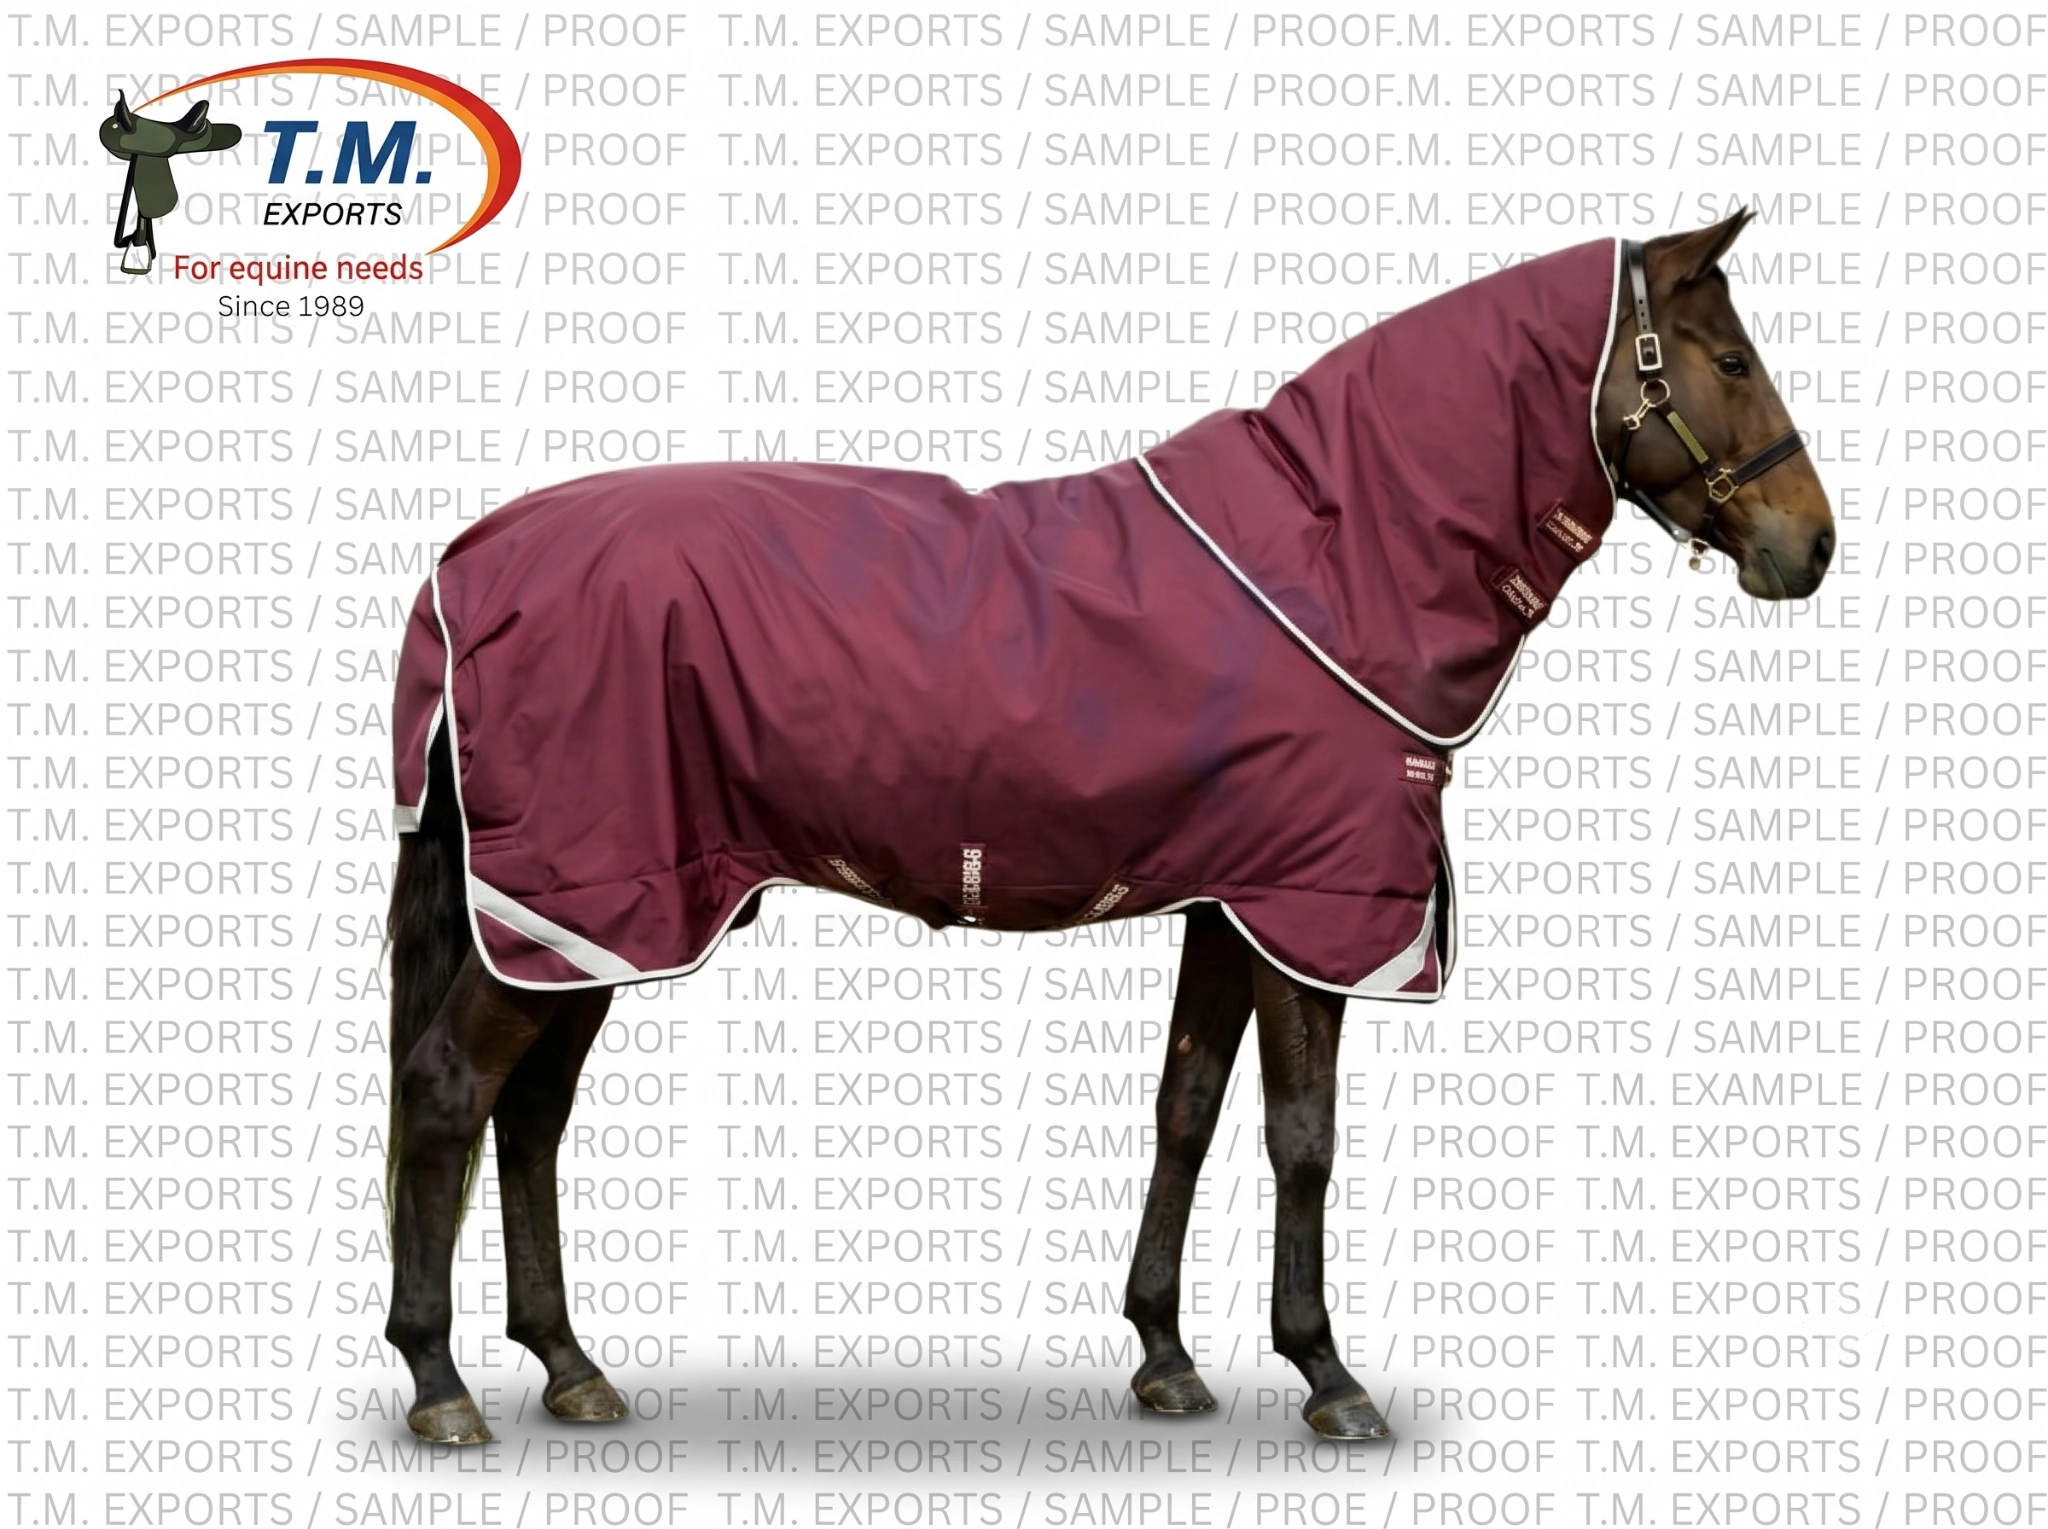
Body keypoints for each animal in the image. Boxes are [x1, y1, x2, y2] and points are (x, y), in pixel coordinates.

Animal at [380, 211, 1834, 1446]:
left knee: (532, 1112)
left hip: (593, 918)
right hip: (585, 897)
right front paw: (1326, 1372)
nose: (1810, 546)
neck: (1332, 555)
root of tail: (469, 563)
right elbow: (1302, 1135)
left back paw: (568, 1364)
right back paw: (440, 1379)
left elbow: (1185, 1107)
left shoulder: (1232, 900)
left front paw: (1166, 1355)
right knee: (452, 1087)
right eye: (1728, 358)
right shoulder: (1312, 910)